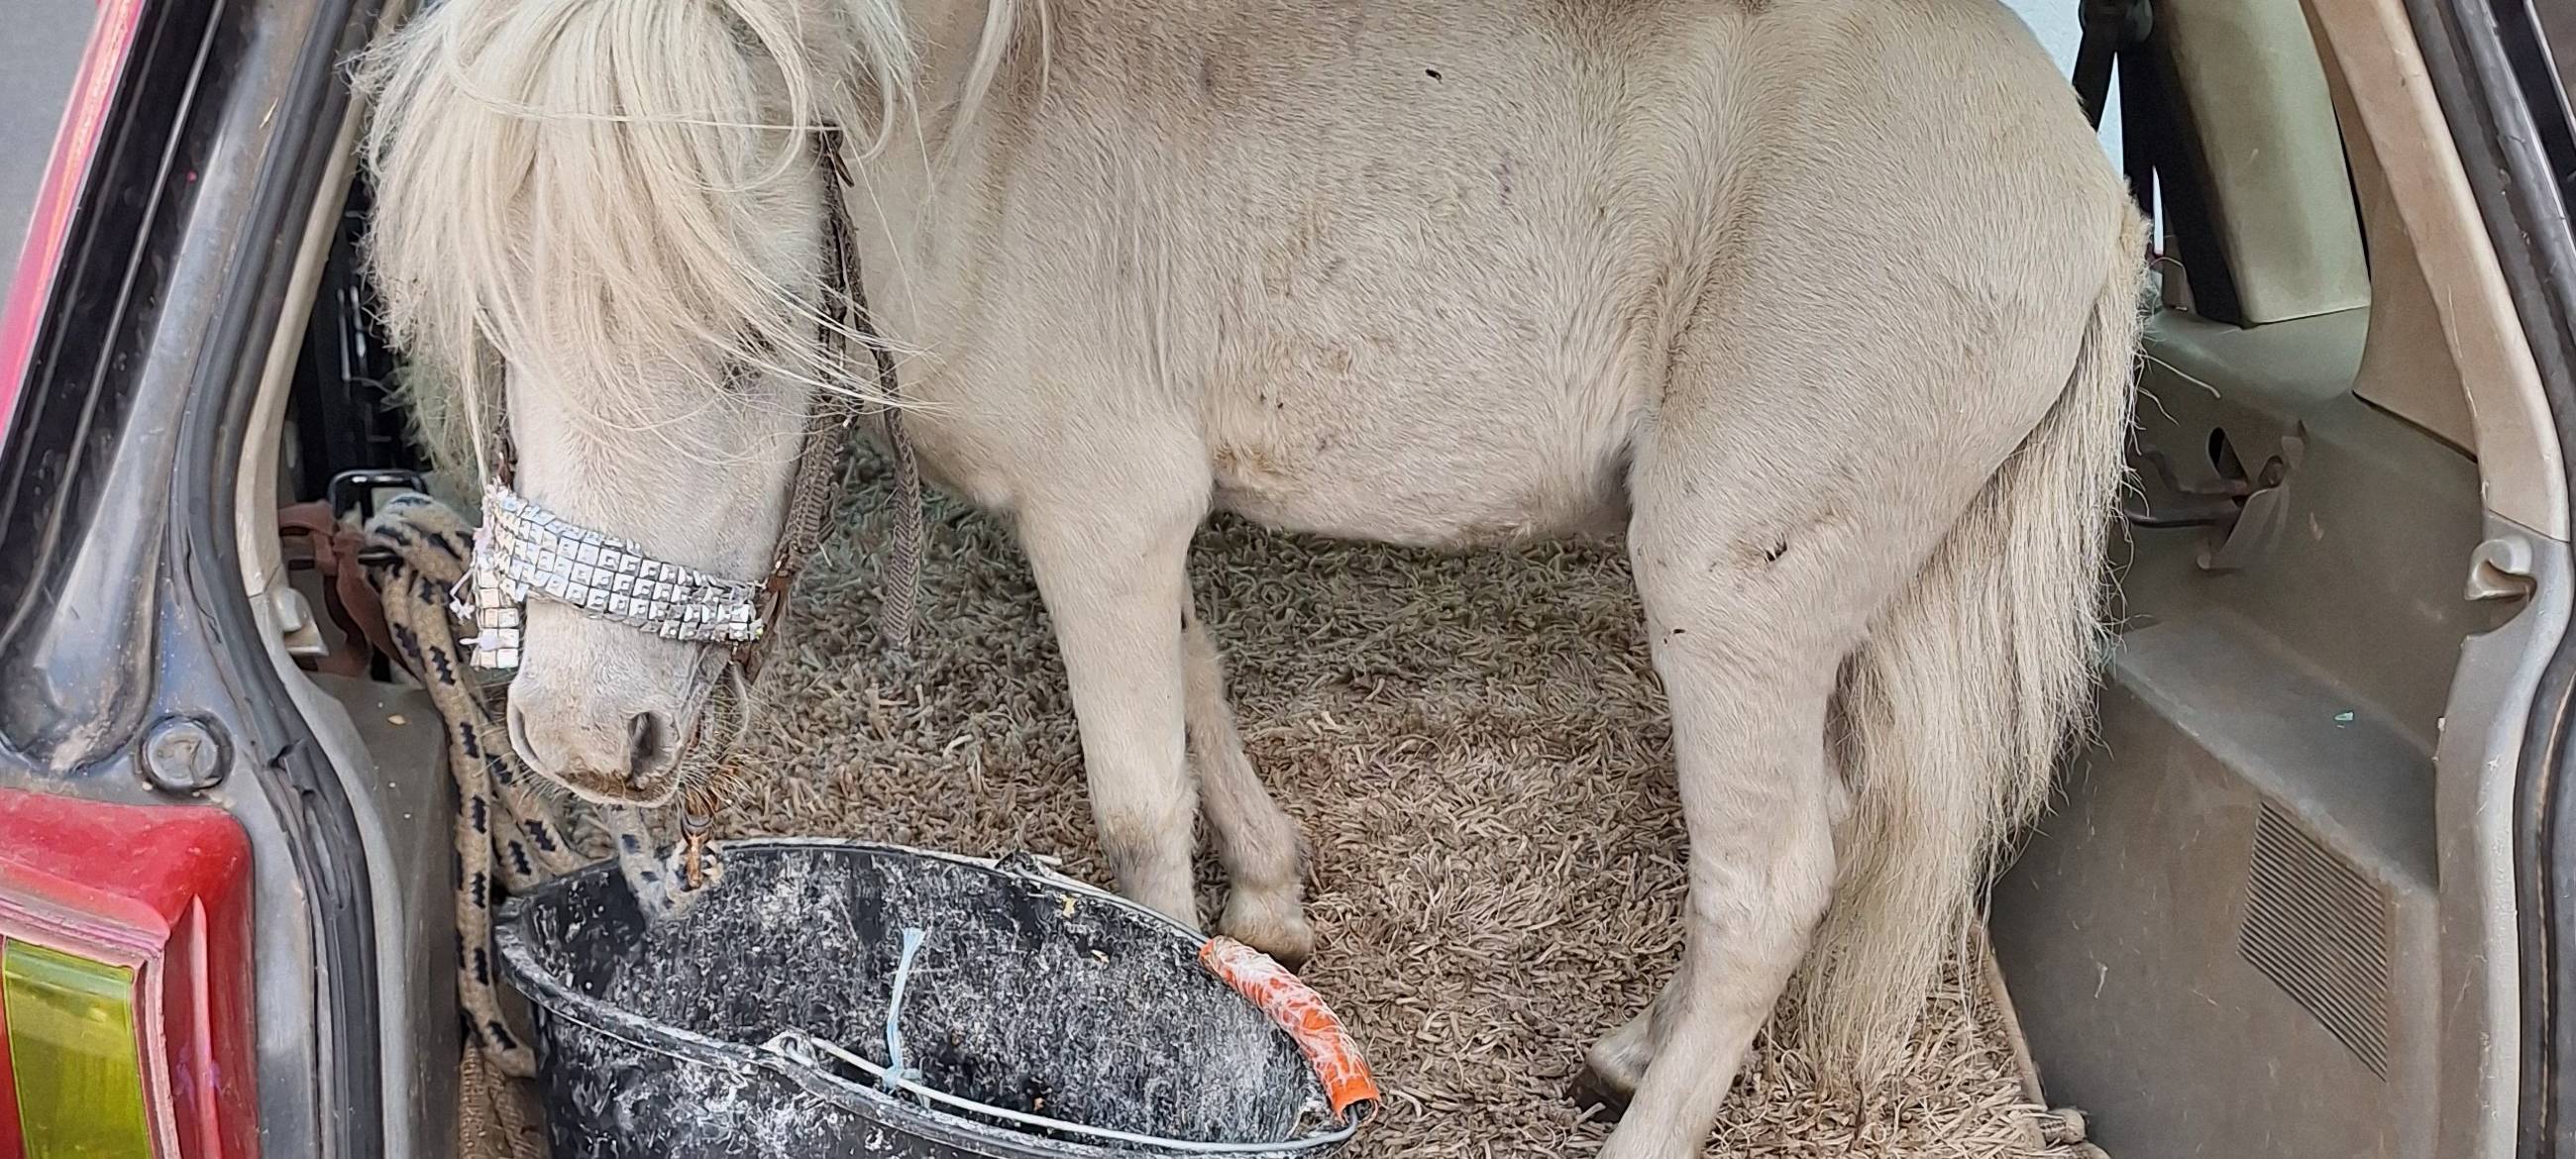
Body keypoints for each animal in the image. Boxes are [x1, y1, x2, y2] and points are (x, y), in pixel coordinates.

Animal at [359, 0, 2145, 1151]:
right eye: (494, 327)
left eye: (747, 344)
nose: (586, 739)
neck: (983, 150)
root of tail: (2089, 190)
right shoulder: (1132, 514)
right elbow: (1201, 676)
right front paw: (1273, 900)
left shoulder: (1103, 510)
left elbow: (1137, 806)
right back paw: (1634, 1049)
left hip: (1738, 593)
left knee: (1767, 879)